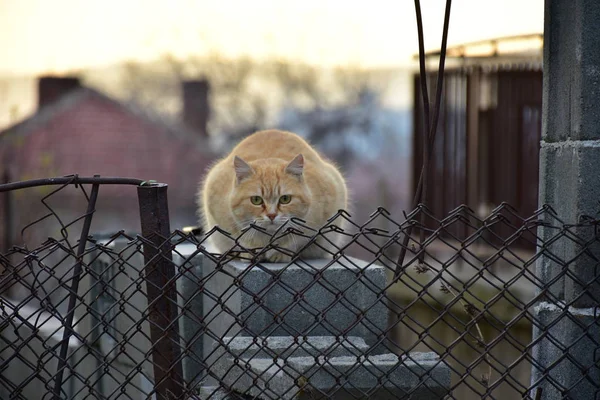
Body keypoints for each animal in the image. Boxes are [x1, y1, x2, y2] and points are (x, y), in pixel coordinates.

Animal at [197, 129, 346, 262]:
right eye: (256, 200)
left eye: (285, 199)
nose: (272, 215)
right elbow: (241, 238)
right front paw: (249, 251)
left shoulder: (318, 221)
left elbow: (297, 240)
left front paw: (281, 253)